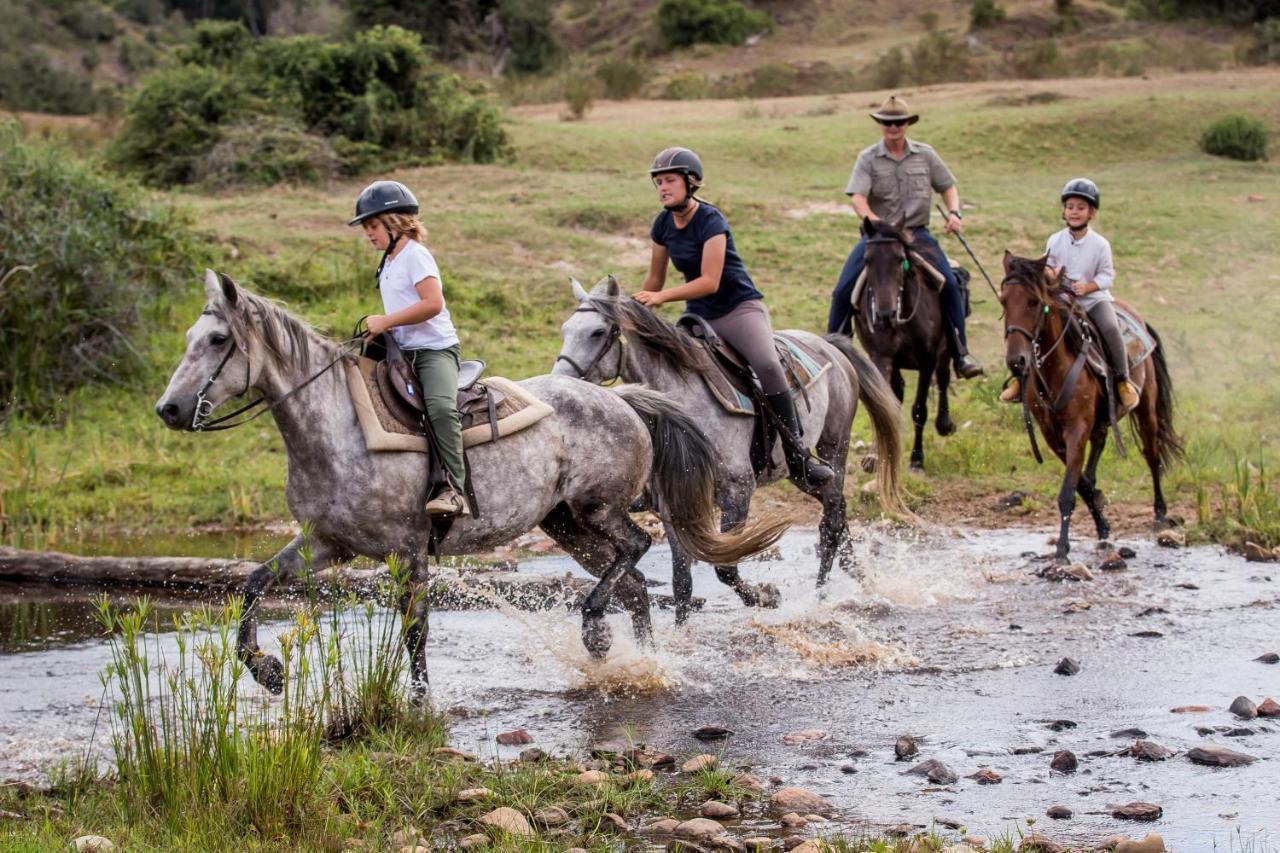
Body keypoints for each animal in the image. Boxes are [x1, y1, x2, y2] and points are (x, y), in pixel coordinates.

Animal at [154, 268, 783, 696]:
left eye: (216, 341)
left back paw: (597, 633)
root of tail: (622, 397)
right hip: (566, 526)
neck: (336, 425)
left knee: (637, 547)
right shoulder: (326, 543)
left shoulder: (408, 549)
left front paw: (418, 703)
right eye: (187, 337)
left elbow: (415, 631)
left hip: (597, 509)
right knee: (630, 585)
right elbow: (252, 584)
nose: (169, 409)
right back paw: (640, 659)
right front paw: (266, 670)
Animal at [555, 275, 906, 622]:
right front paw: (681, 629)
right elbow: (682, 578)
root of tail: (828, 344)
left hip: (835, 446)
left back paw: (820, 595)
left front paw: (766, 596)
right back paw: (856, 576)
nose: (559, 379)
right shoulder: (673, 502)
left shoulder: (737, 490)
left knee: (830, 523)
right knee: (838, 509)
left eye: (598, 332)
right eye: (565, 329)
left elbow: (725, 566)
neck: (683, 400)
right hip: (800, 473)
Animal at [855, 216, 957, 468]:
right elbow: (883, 402)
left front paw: (917, 458)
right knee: (898, 391)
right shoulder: (881, 357)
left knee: (943, 378)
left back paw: (944, 423)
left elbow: (919, 409)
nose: (884, 315)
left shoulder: (927, 360)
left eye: (900, 259)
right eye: (867, 260)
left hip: (944, 351)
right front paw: (874, 455)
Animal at [993, 249, 1182, 560]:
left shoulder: (1076, 428)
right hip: (1102, 420)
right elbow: (1080, 483)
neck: (1057, 370)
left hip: (1146, 410)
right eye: (1004, 300)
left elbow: (1069, 491)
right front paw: (1101, 522)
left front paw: (1062, 548)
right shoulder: (1052, 434)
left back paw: (1159, 514)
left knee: (1152, 454)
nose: (1016, 361)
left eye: (1034, 302)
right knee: (1101, 445)